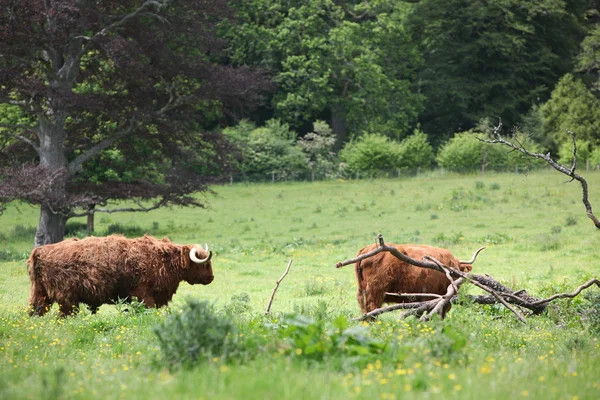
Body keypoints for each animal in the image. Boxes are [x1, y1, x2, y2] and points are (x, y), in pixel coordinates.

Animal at [28, 234, 216, 316]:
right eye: (205, 263)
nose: (211, 278)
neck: (164, 259)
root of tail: (40, 251)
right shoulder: (143, 295)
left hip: (40, 293)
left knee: (36, 311)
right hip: (67, 299)